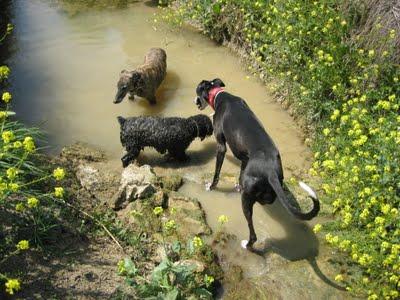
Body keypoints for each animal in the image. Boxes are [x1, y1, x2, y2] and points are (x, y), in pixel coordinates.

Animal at [195, 79, 320, 251]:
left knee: (253, 233)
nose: (195, 102)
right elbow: (240, 170)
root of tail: (270, 171)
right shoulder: (244, 159)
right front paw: (237, 184)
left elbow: (217, 173)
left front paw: (211, 187)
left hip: (246, 202)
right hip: (266, 190)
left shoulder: (221, 146)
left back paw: (247, 245)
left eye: (197, 92)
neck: (220, 95)